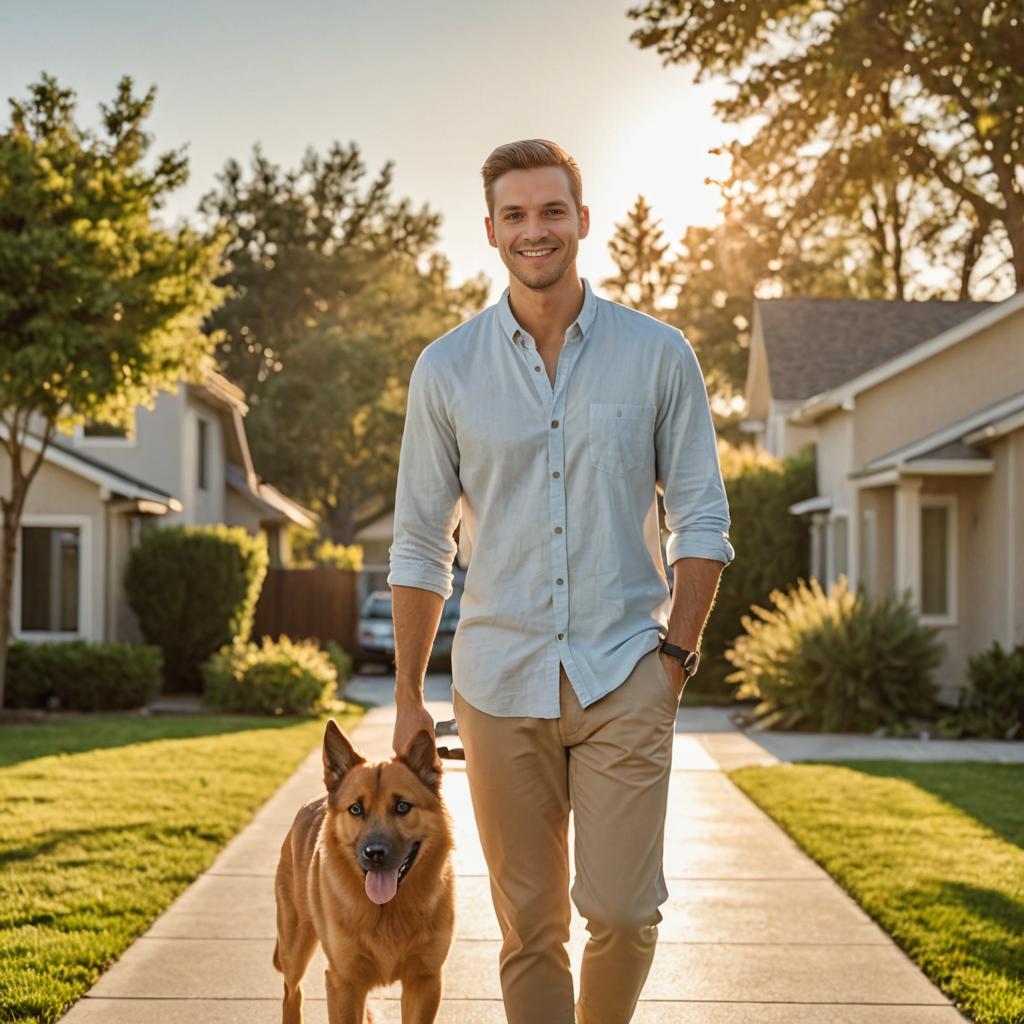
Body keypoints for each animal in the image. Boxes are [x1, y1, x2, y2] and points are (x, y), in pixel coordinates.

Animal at [274, 720, 454, 1024]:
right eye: (356, 809)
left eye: (402, 807)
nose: (375, 854)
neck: (388, 911)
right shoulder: (344, 982)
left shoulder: (424, 980)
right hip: (295, 947)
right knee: (291, 993)